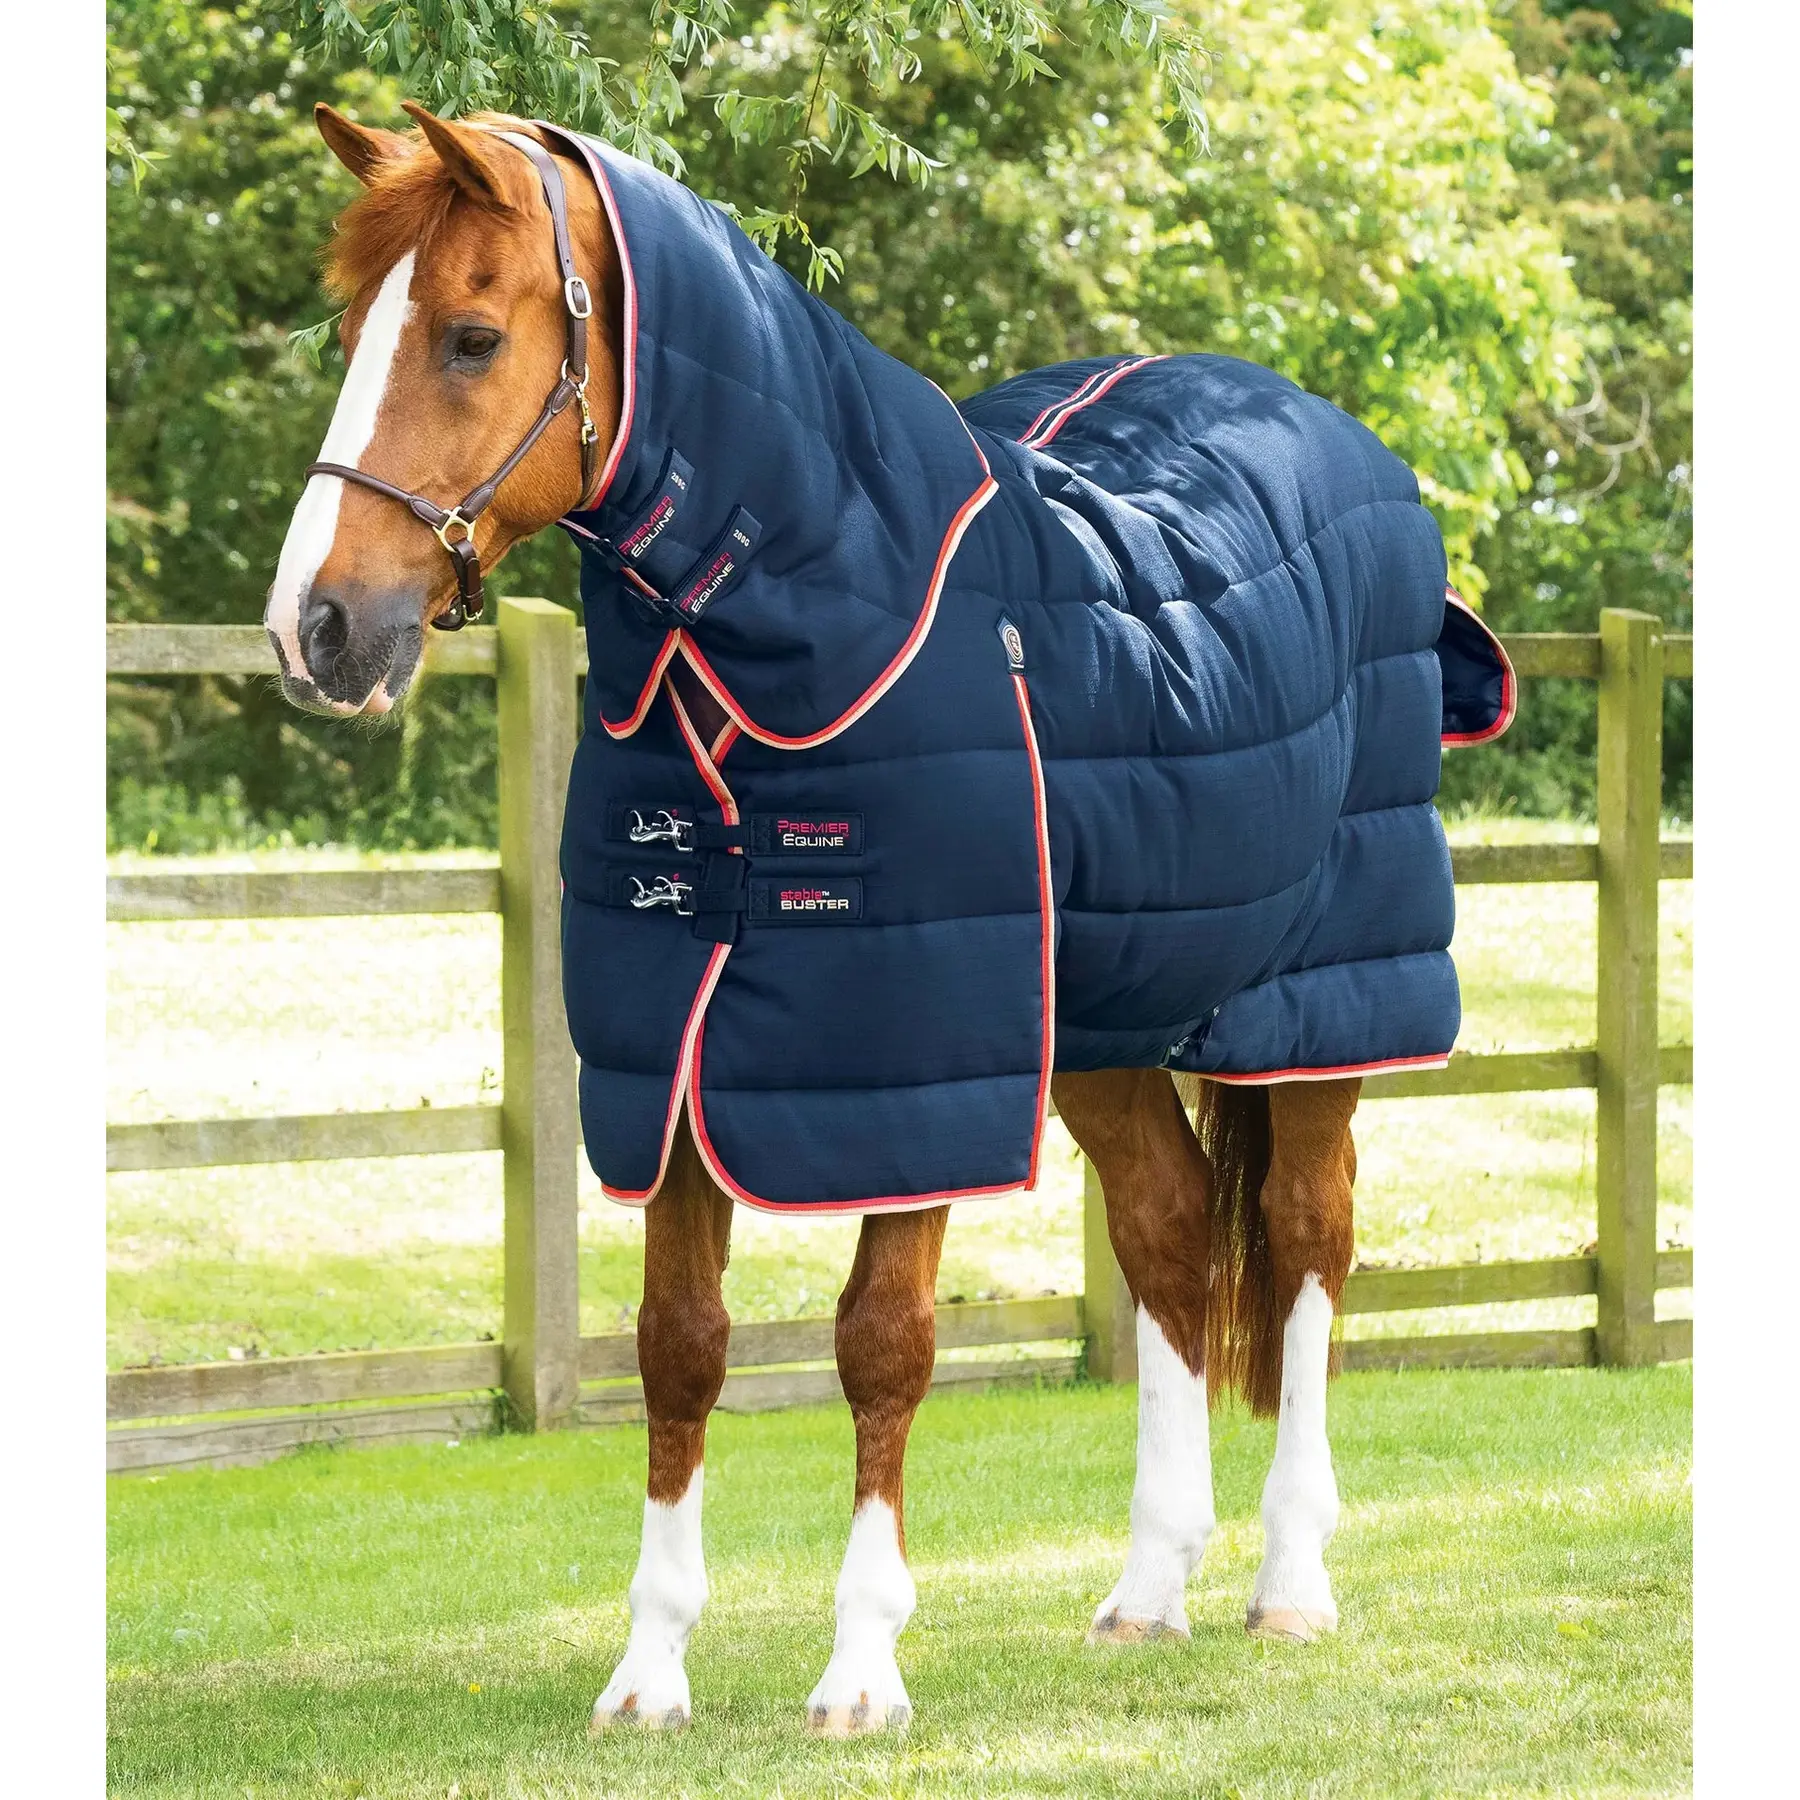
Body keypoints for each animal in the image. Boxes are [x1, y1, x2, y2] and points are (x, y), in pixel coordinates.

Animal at [265, 103, 1504, 1736]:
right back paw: (1148, 1591)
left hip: (1319, 1005)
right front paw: (648, 1674)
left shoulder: (917, 1069)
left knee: (1305, 1245)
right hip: (1099, 1022)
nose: (315, 629)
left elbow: (883, 1345)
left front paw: (860, 1671)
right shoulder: (682, 1060)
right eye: (355, 328)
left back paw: (1289, 1586)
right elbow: (678, 1349)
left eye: (470, 338)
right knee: (1172, 1236)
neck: (806, 631)